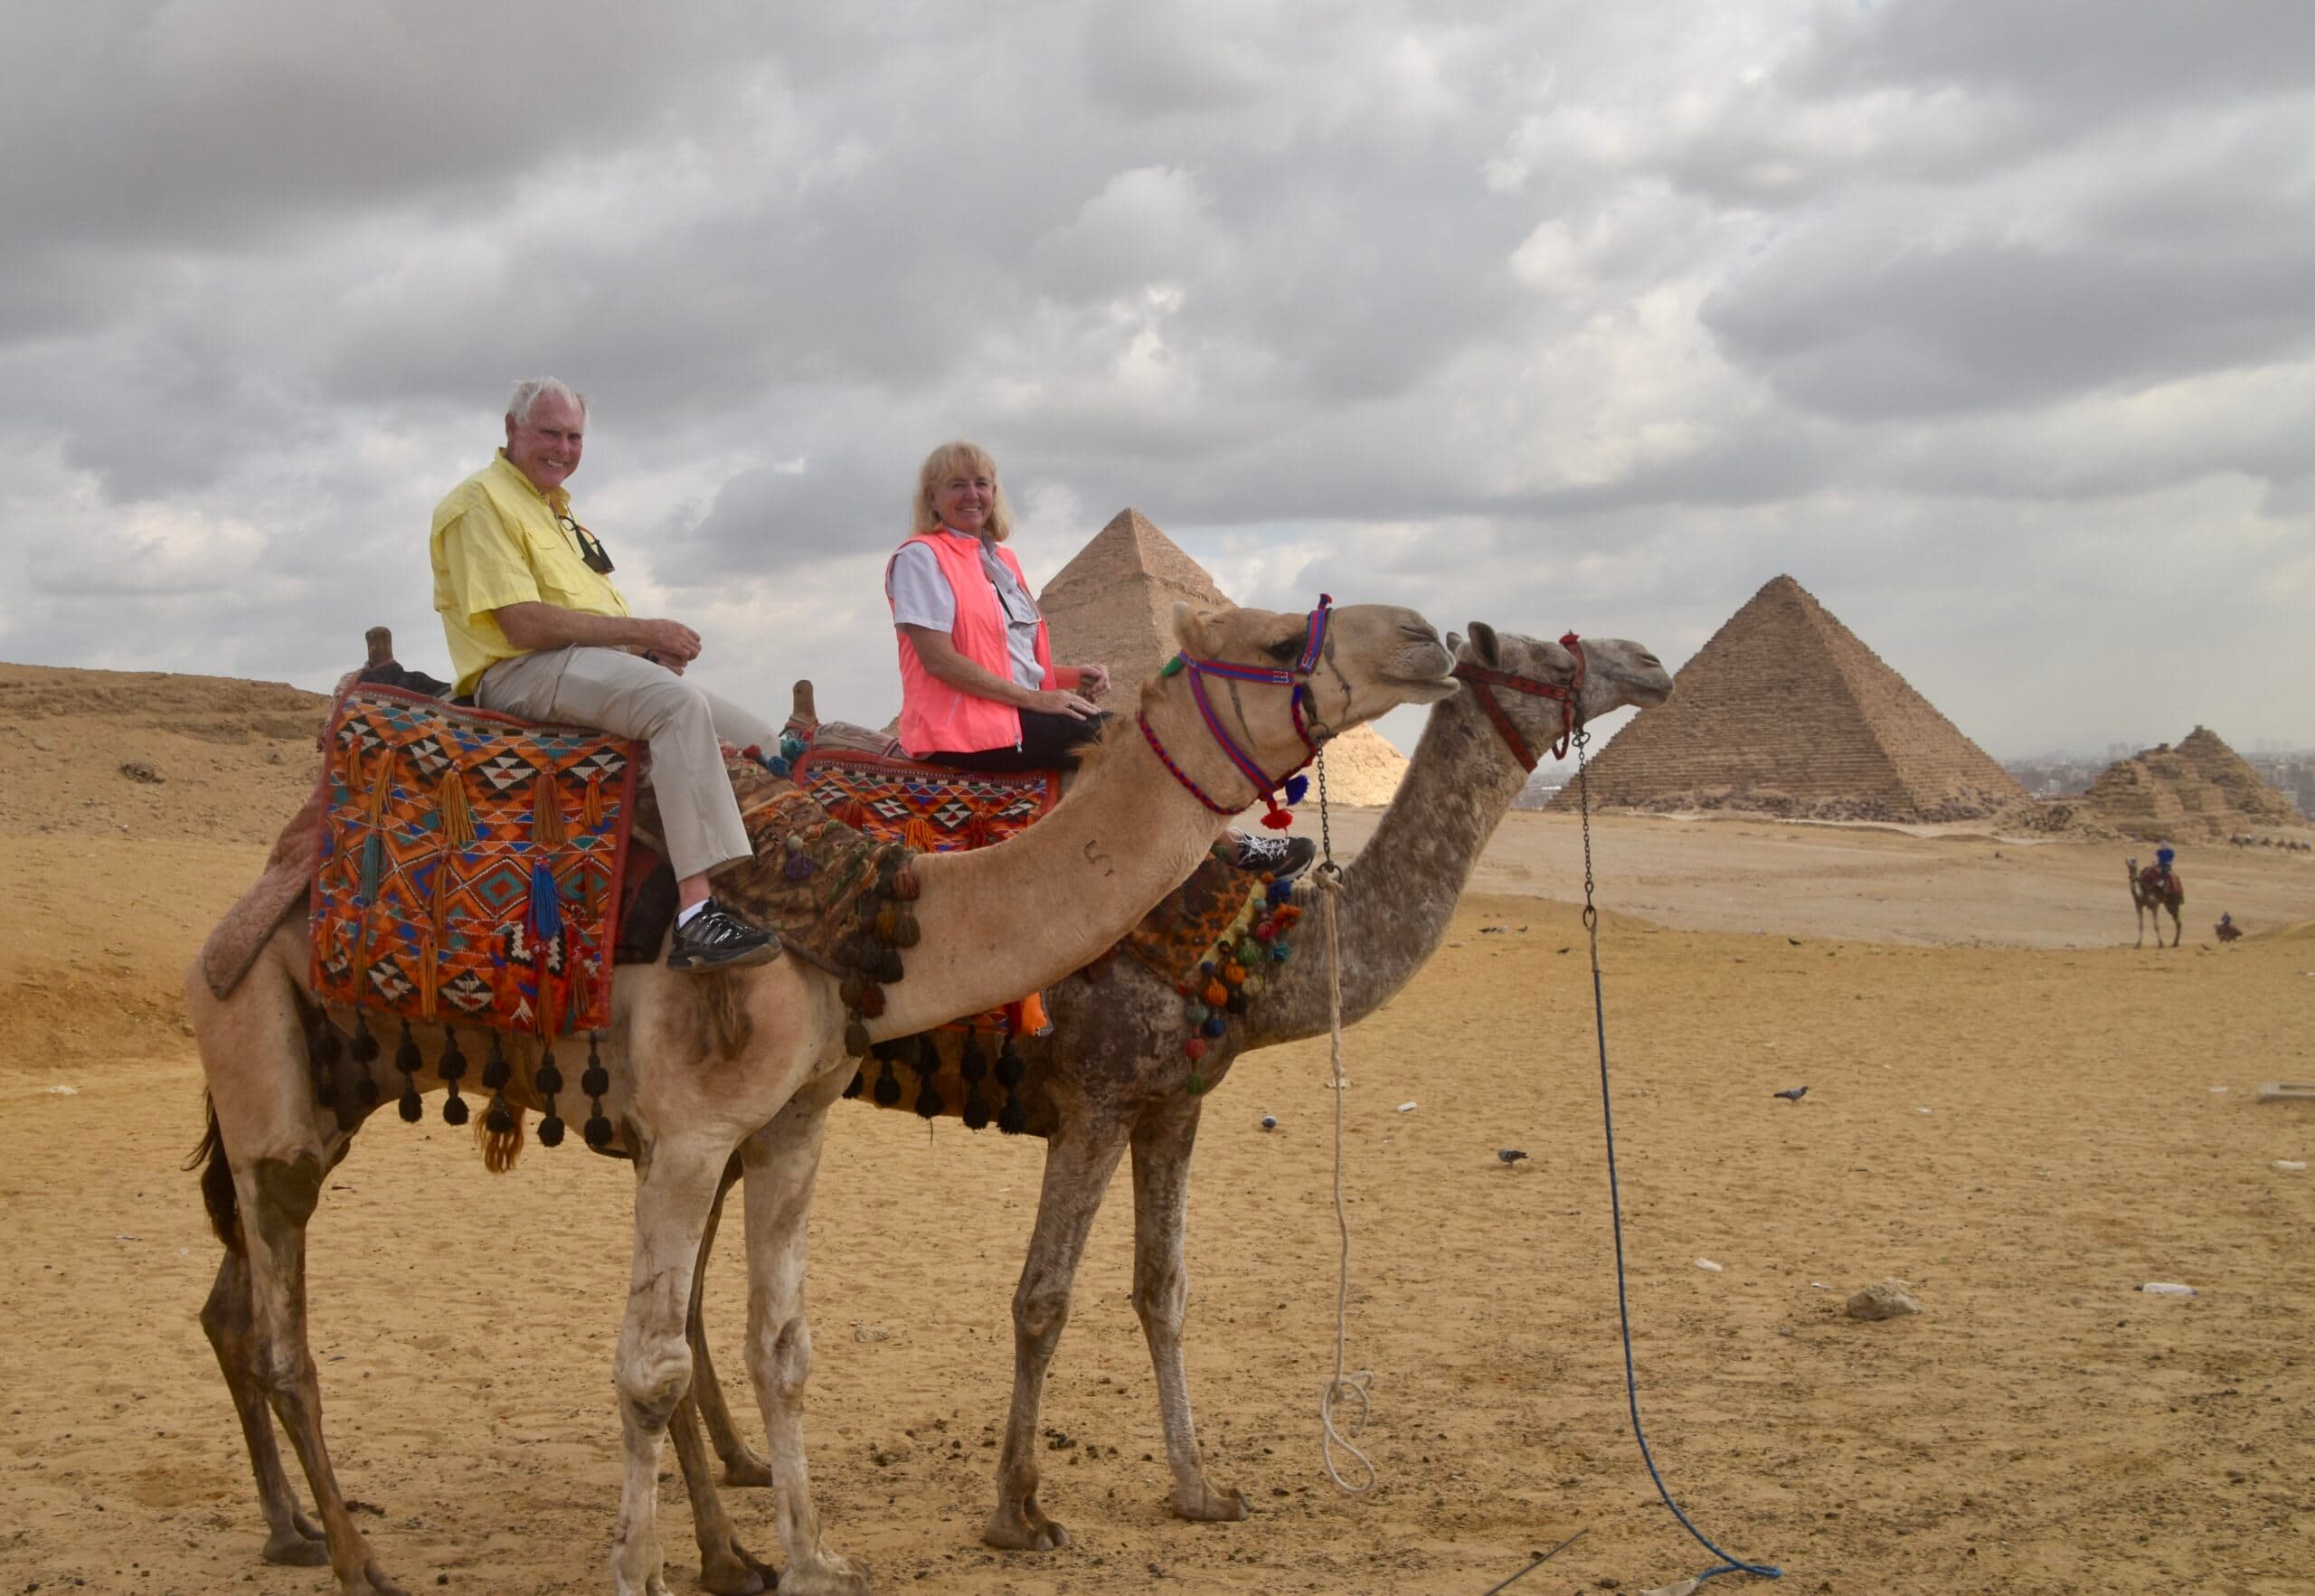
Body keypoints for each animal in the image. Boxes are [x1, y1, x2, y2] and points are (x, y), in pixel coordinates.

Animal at [186, 597, 1456, 1596]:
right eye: (1281, 636)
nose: (1429, 635)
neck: (859, 919)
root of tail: (257, 889)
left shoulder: (794, 1122)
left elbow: (778, 1344)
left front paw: (809, 1558)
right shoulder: (694, 1130)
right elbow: (648, 1367)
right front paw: (642, 1572)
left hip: (340, 1088)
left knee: (243, 1308)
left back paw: (299, 1532)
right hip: (261, 1078)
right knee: (285, 1334)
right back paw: (355, 1559)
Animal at [666, 624, 1672, 1555]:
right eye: (1551, 656)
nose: (1653, 663)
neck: (1260, 953)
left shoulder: (1175, 1103)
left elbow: (1163, 1289)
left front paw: (1199, 1489)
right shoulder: (1098, 1101)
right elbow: (1041, 1299)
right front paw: (1017, 1511)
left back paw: (741, 1464)